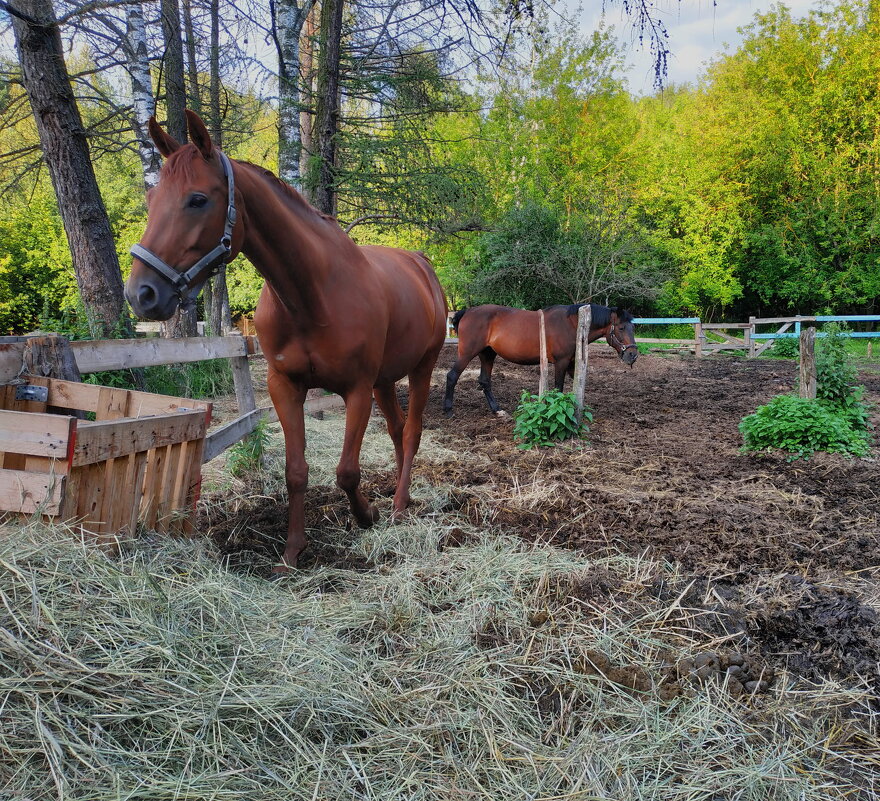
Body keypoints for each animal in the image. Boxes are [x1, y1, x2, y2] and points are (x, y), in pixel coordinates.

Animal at [125, 112, 446, 572]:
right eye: (152, 200)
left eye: (197, 199)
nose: (142, 294)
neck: (312, 295)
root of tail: (421, 265)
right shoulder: (285, 386)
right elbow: (296, 472)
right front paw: (293, 551)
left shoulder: (356, 390)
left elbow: (347, 470)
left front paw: (367, 515)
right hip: (385, 381)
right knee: (398, 429)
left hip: (422, 368)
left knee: (413, 431)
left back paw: (400, 505)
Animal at [444, 304, 636, 416]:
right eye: (621, 328)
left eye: (633, 327)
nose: (633, 355)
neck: (572, 324)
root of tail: (467, 311)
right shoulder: (561, 362)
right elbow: (559, 388)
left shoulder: (571, 363)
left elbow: (576, 386)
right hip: (467, 353)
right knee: (452, 376)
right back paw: (448, 409)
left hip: (488, 354)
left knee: (484, 381)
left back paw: (497, 409)